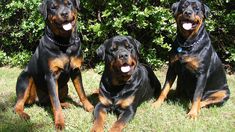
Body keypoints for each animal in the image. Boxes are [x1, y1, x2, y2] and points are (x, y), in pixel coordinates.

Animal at [13, 0, 93, 130]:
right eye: (53, 7)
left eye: (69, 3)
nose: (64, 13)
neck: (65, 42)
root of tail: (38, 100)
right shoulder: (51, 75)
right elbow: (55, 102)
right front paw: (59, 122)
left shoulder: (76, 71)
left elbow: (82, 92)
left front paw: (90, 107)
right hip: (25, 79)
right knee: (18, 105)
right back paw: (23, 114)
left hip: (65, 87)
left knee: (51, 101)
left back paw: (65, 104)